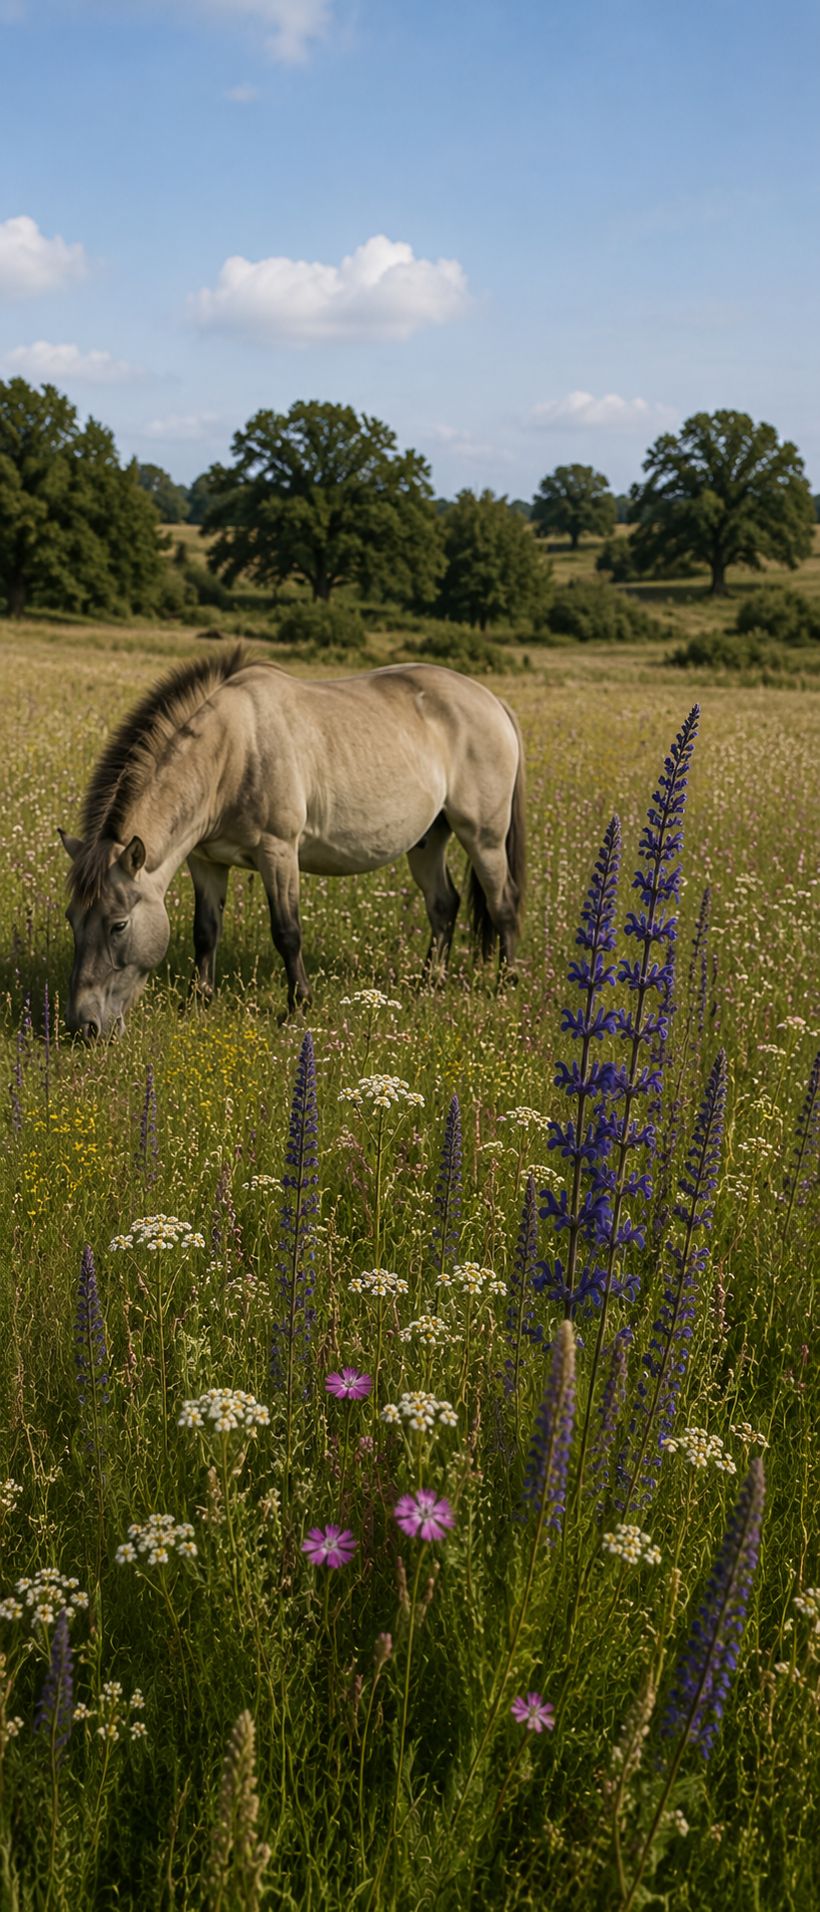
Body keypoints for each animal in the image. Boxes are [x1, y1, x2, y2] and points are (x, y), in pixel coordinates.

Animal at [60, 645, 526, 1038]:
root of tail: (492, 701)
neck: (231, 751)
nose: (84, 1026)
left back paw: (505, 985)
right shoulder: (205, 861)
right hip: (428, 840)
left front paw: (297, 1006)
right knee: (443, 905)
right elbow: (205, 930)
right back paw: (429, 983)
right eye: (71, 918)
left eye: (119, 924)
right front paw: (197, 1001)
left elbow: (287, 931)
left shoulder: (278, 851)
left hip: (483, 835)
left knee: (502, 903)